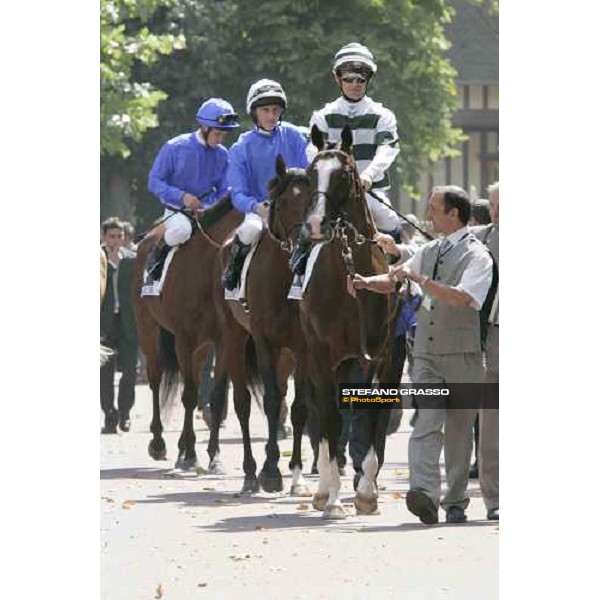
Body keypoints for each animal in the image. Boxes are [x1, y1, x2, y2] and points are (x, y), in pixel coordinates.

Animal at [134, 197, 268, 492]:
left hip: (200, 346)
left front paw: (213, 456)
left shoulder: (222, 339)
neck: (208, 267)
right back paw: (159, 443)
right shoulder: (184, 337)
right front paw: (191, 455)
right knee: (155, 378)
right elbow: (189, 394)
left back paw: (184, 447)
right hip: (148, 327)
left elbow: (215, 398)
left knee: (192, 376)